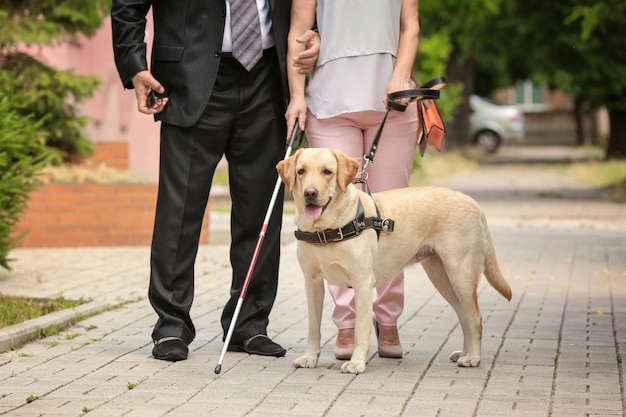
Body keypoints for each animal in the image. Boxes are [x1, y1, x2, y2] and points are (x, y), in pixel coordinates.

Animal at [276, 147, 510, 374]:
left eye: (327, 171)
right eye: (301, 171)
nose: (310, 193)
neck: (325, 230)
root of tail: (472, 202)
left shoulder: (362, 282)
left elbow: (361, 328)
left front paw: (357, 363)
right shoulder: (312, 282)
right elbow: (313, 327)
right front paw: (309, 358)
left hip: (460, 273)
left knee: (475, 317)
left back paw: (473, 357)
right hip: (442, 277)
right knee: (464, 315)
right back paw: (464, 353)